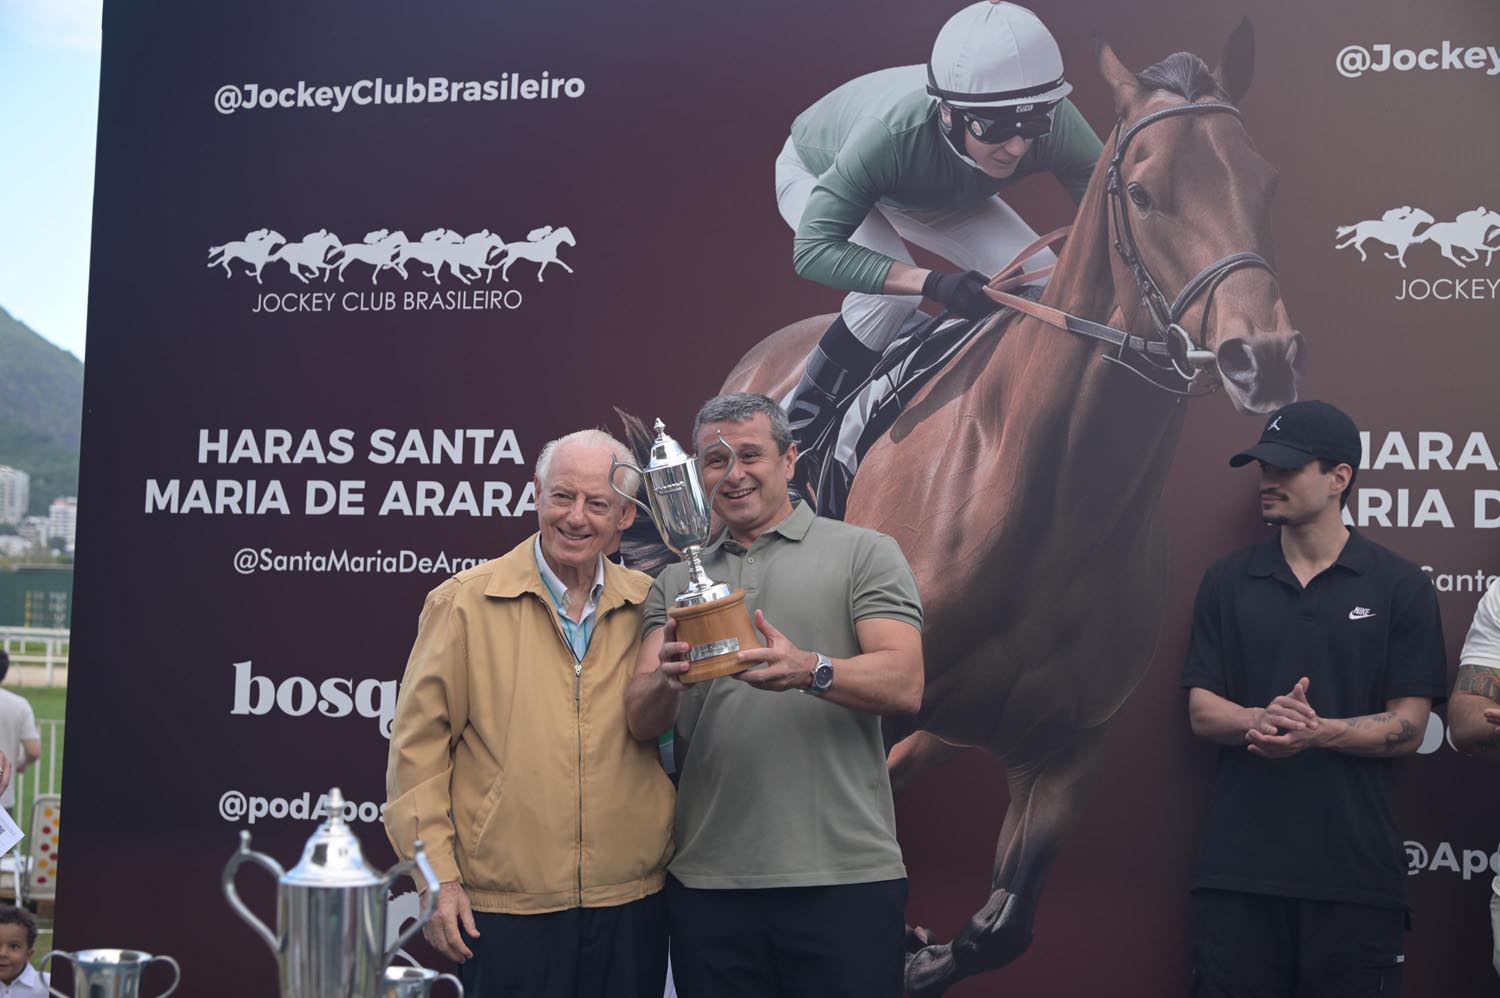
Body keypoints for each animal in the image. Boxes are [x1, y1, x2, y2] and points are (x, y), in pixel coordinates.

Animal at [719, 25, 1301, 996]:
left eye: (1265, 182)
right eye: (1144, 193)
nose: (1264, 357)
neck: (1051, 505)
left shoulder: (1065, 748)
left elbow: (1004, 927)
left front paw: (924, 952)